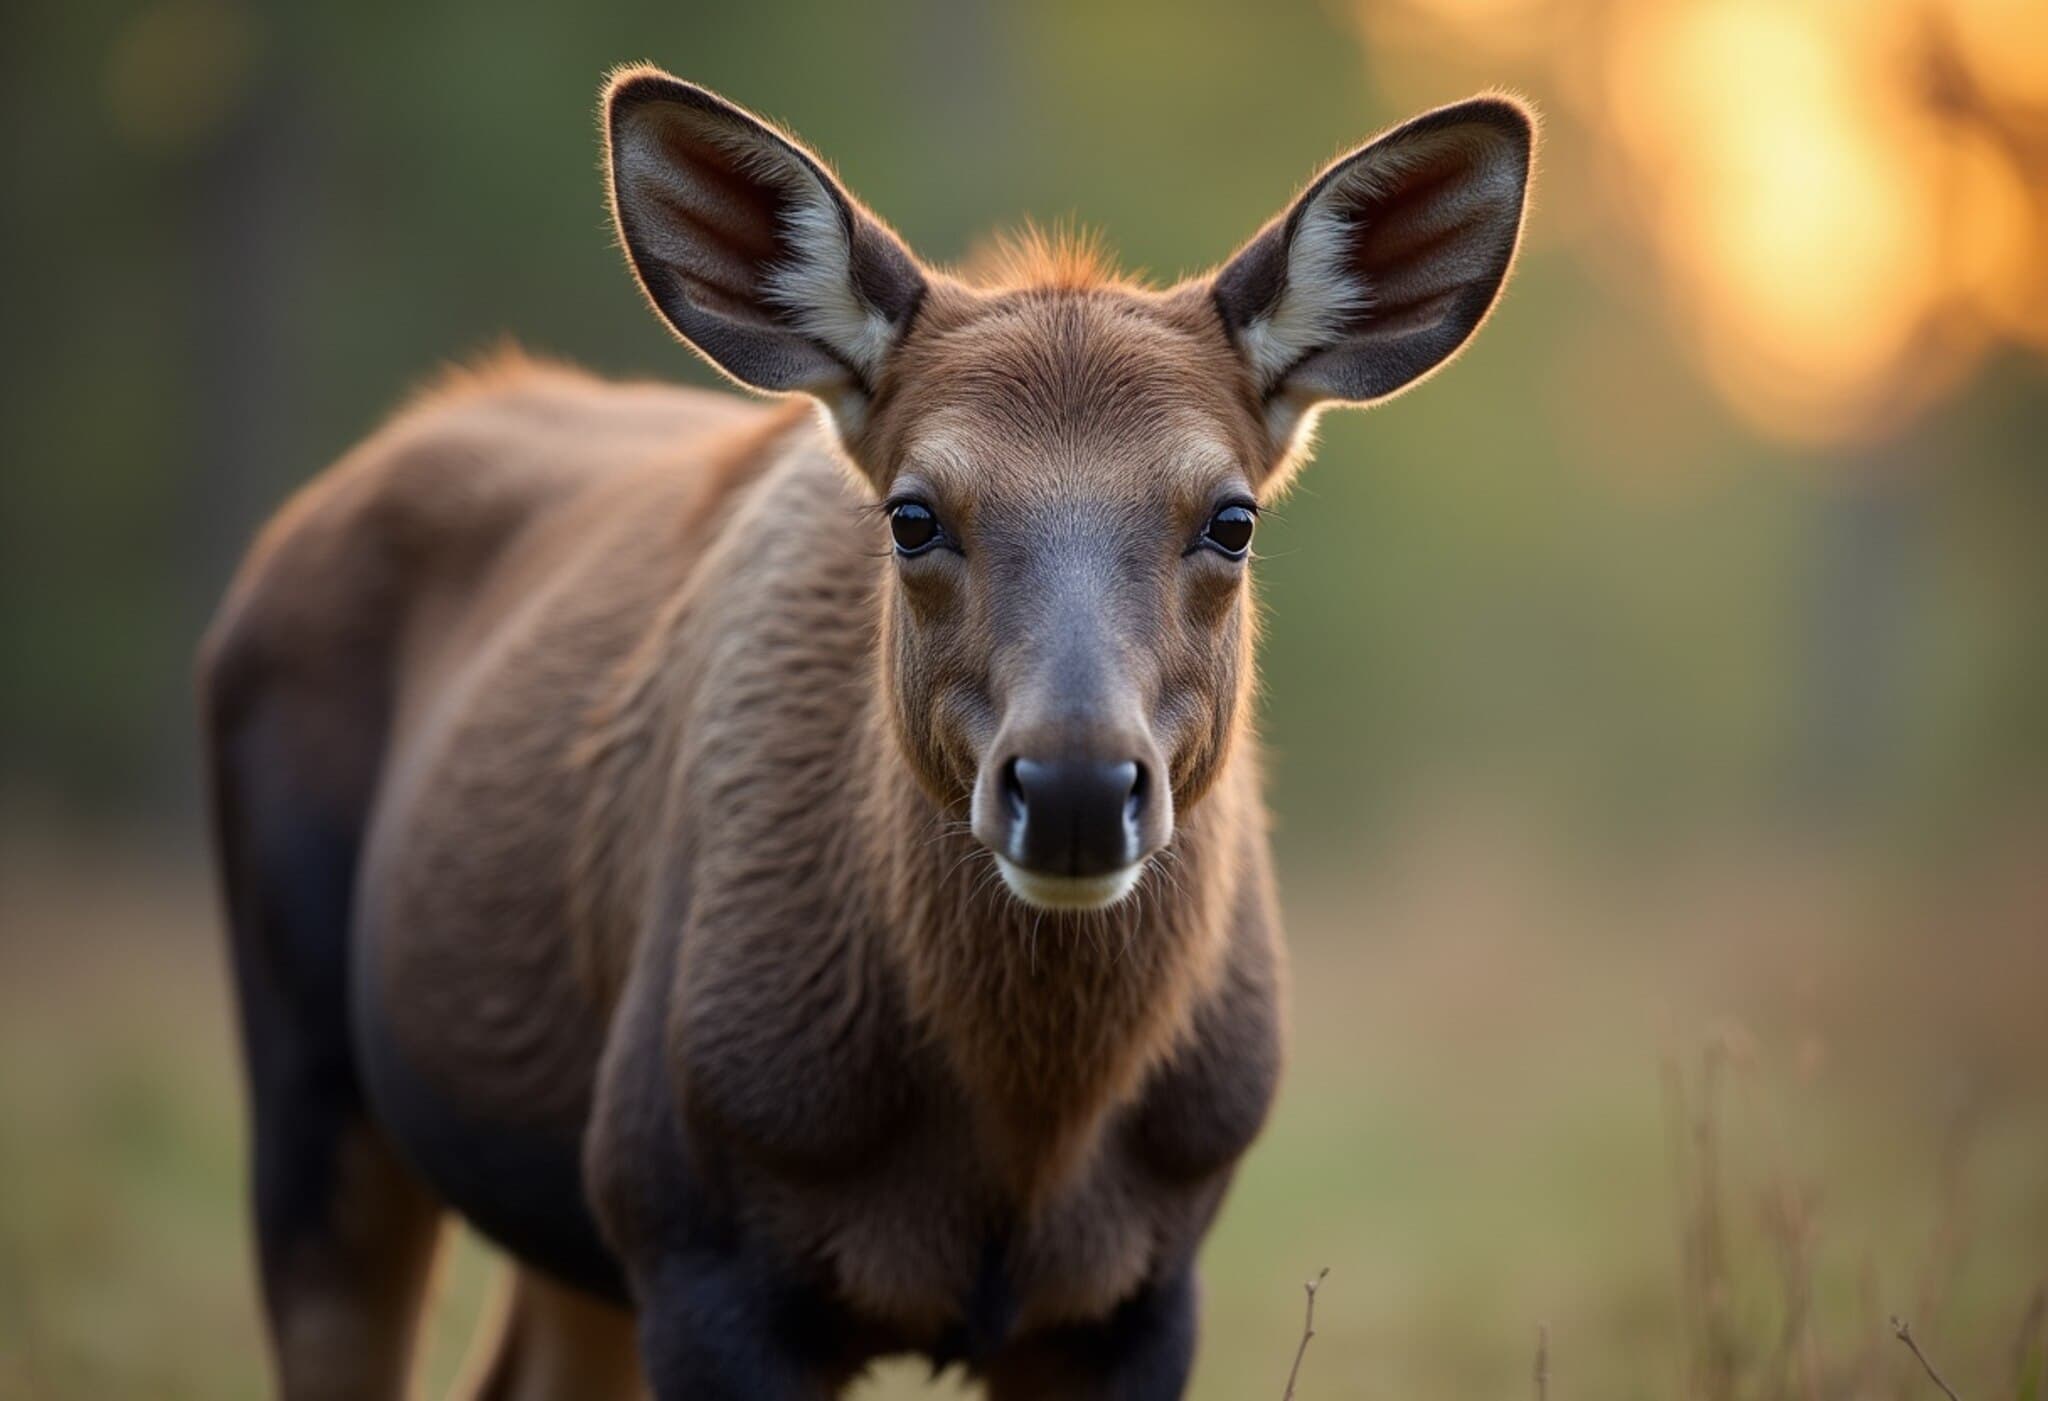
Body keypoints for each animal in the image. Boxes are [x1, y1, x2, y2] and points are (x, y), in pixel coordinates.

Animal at [199, 66, 1531, 1400]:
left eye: (1230, 518)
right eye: (912, 515)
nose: (1074, 788)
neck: (1018, 1137)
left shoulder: (1145, 1290)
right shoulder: (700, 1248)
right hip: (327, 1087)